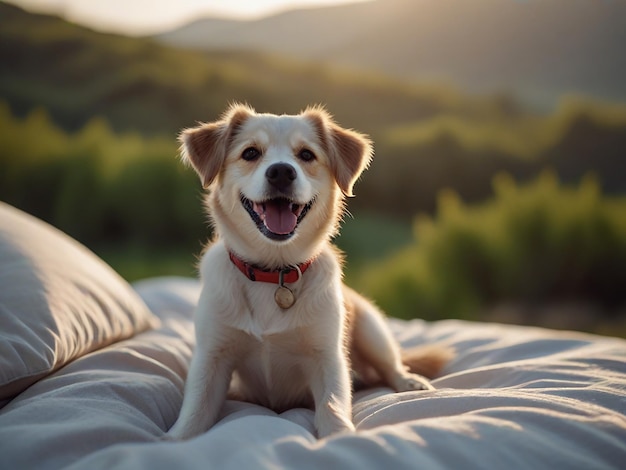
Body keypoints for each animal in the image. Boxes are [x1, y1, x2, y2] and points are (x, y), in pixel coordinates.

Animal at [166, 104, 448, 438]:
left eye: (306, 155)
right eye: (250, 153)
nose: (281, 172)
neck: (273, 272)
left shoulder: (327, 358)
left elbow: (332, 405)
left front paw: (340, 436)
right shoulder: (212, 356)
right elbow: (195, 411)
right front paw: (173, 439)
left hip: (372, 329)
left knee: (392, 364)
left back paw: (408, 380)